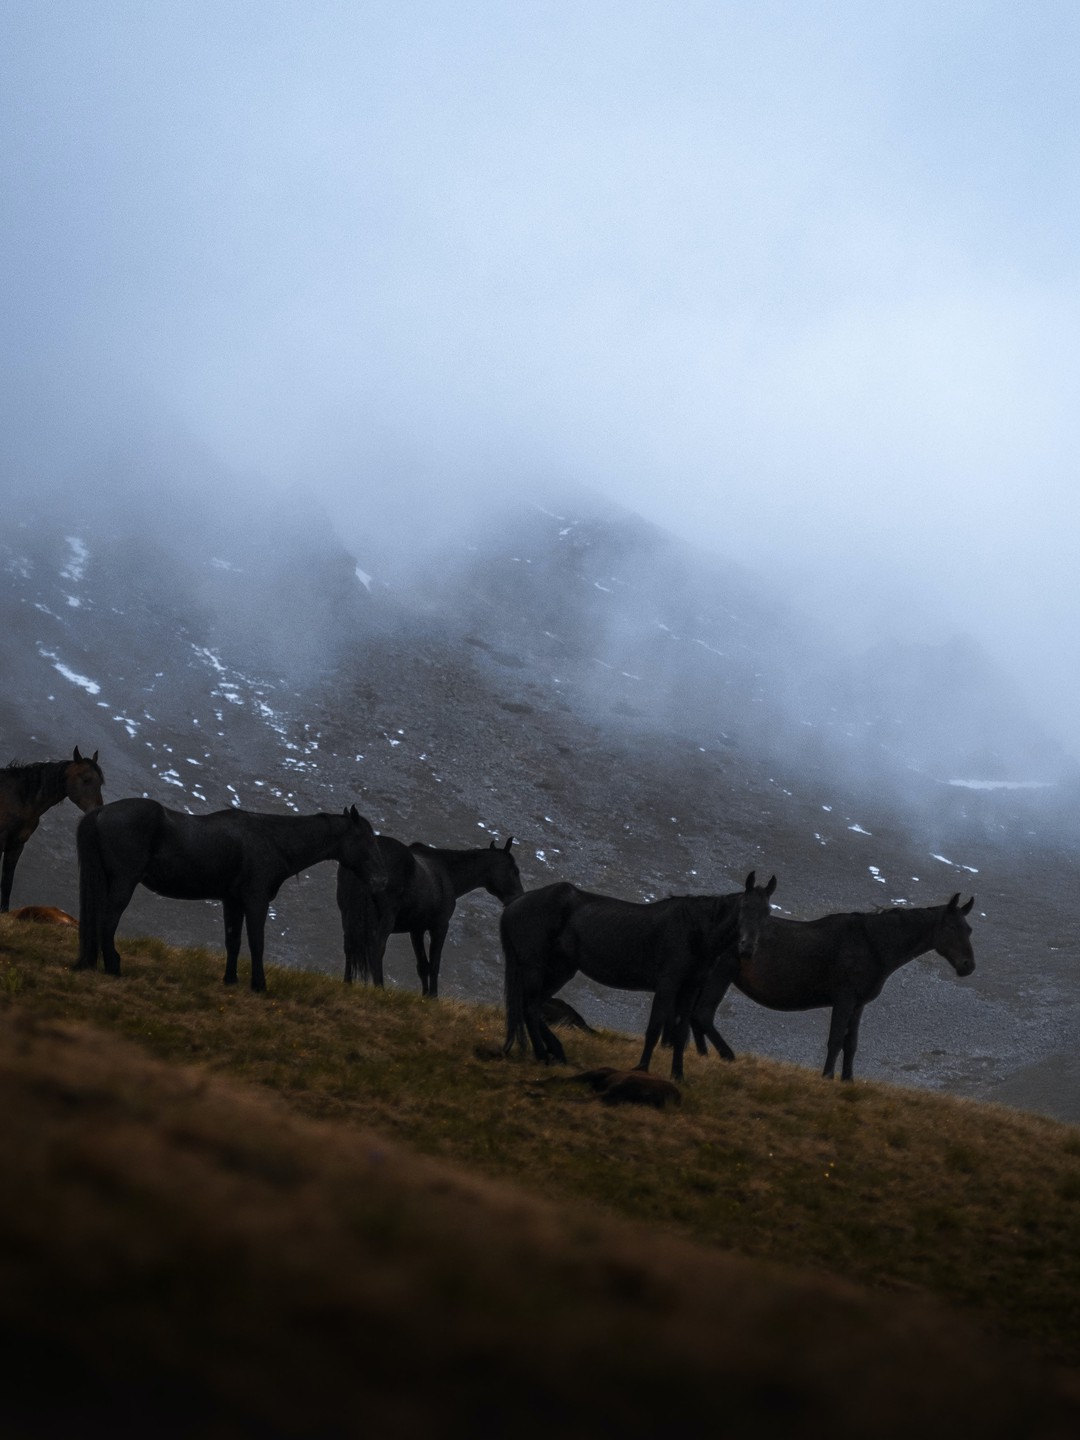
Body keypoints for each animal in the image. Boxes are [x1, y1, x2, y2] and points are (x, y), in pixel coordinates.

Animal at [0, 754, 103, 910]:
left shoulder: (16, 846)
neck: (19, 801)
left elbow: (7, 882)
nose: (97, 810)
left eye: (101, 783)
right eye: (86, 779)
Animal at [76, 800, 388, 990]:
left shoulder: (233, 902)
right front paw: (259, 985)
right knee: (107, 922)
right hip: (123, 883)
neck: (271, 839)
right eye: (366, 839)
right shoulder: (255, 901)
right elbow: (257, 943)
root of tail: (100, 813)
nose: (380, 880)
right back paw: (113, 966)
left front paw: (231, 979)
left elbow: (233, 942)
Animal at [338, 840, 524, 996]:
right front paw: (433, 997)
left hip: (348, 916)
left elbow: (422, 965)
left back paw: (347, 982)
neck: (446, 872)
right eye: (515, 870)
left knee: (349, 946)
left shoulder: (416, 930)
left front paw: (424, 996)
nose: (519, 897)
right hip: (384, 921)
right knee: (377, 949)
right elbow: (434, 964)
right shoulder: (440, 927)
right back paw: (380, 989)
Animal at [504, 864, 771, 1082]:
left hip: (561, 970)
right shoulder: (667, 985)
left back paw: (554, 1053)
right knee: (531, 1007)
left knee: (532, 1006)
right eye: (744, 907)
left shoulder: (689, 989)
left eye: (767, 912)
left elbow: (680, 1032)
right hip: (535, 968)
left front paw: (678, 1075)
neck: (695, 932)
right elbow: (654, 1028)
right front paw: (641, 1068)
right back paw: (543, 1055)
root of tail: (516, 904)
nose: (747, 948)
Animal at [694, 887, 979, 1082]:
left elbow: (851, 1044)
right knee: (703, 1016)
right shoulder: (844, 1000)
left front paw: (848, 1080)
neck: (872, 943)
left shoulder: (858, 1005)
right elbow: (835, 1040)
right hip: (720, 975)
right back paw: (725, 1055)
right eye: (951, 926)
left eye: (969, 929)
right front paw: (827, 1077)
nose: (968, 966)